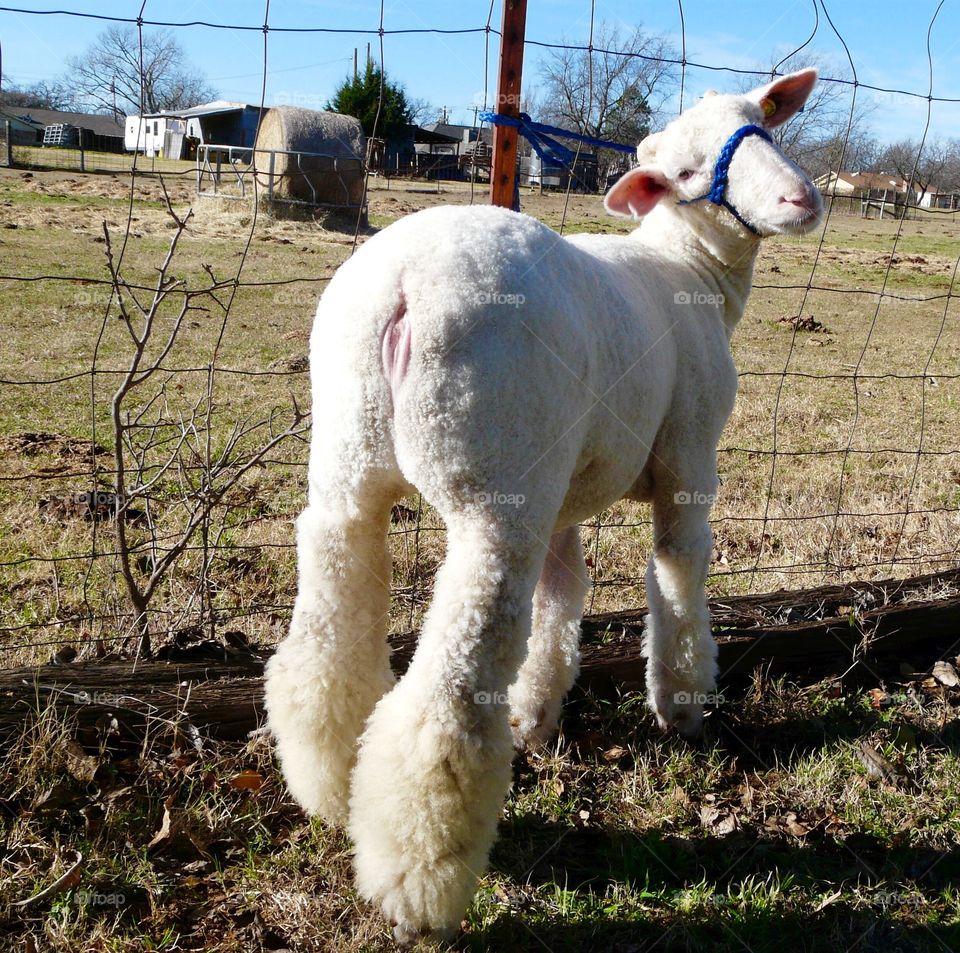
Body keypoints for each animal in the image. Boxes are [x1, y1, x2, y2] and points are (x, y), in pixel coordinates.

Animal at [264, 69, 824, 944]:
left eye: (763, 125)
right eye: (688, 173)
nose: (801, 199)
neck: (689, 266)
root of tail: (401, 289)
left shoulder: (569, 488)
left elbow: (565, 598)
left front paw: (537, 715)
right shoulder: (690, 457)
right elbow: (678, 574)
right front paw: (682, 705)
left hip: (348, 464)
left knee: (325, 637)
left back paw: (327, 786)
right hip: (498, 491)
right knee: (446, 702)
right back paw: (419, 885)